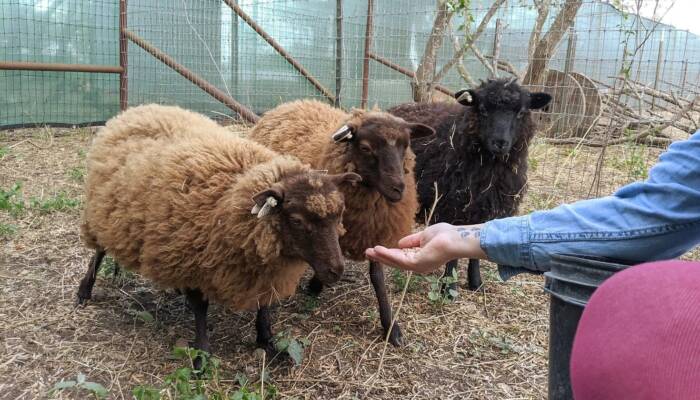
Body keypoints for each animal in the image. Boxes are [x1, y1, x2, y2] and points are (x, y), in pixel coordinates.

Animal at [77, 103, 360, 360]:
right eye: (298, 221)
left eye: (339, 215)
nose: (336, 270)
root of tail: (134, 110)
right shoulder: (191, 260)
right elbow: (200, 309)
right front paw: (202, 356)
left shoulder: (265, 271)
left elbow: (264, 305)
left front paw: (267, 340)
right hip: (101, 211)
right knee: (99, 251)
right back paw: (84, 292)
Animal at [246, 98, 432, 346]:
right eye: (365, 148)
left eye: (406, 146)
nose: (398, 189)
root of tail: (290, 103)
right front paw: (316, 284)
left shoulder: (375, 232)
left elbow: (378, 278)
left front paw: (391, 327)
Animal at [388, 77, 552, 290]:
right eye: (482, 109)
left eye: (521, 112)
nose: (500, 142)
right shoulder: (450, 208)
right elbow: (452, 254)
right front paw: (448, 287)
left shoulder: (484, 209)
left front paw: (475, 282)